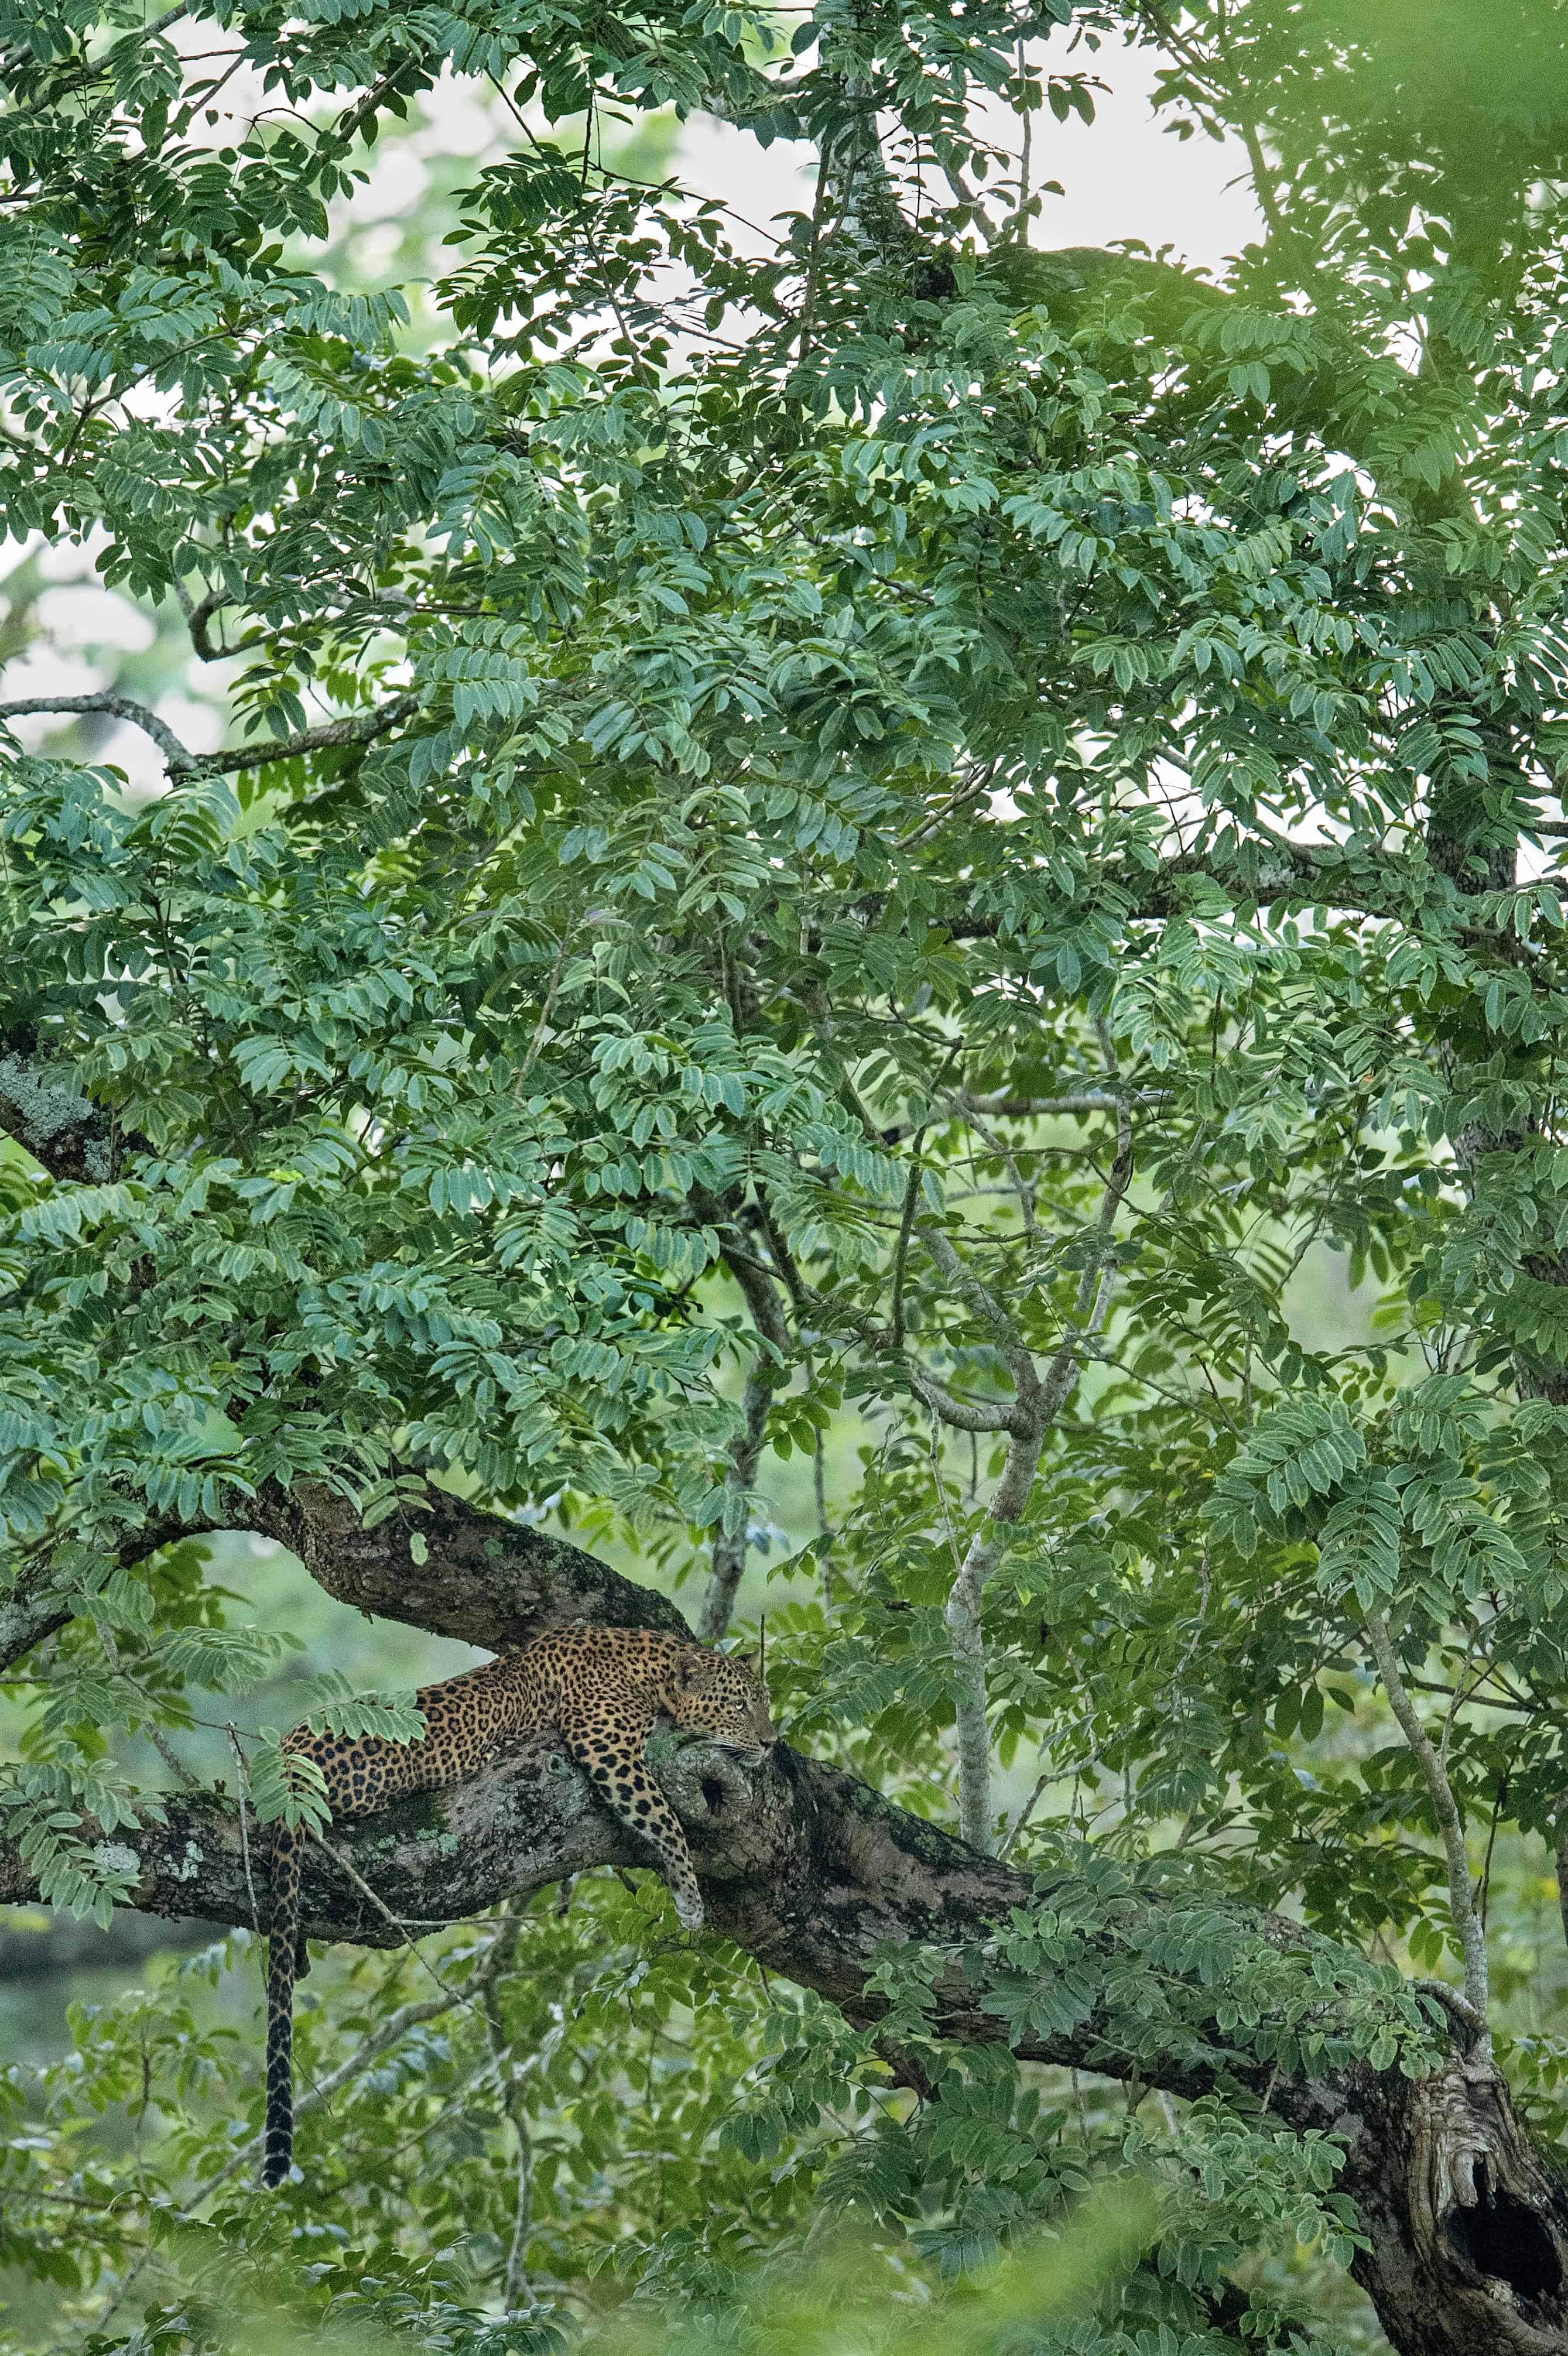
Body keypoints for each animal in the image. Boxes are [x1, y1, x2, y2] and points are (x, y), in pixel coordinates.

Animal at [262, 1625, 775, 2190]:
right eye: (739, 1705)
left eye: (765, 1702)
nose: (772, 1743)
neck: (648, 1665)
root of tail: (288, 1752)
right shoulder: (608, 1745)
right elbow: (664, 1818)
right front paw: (688, 1894)